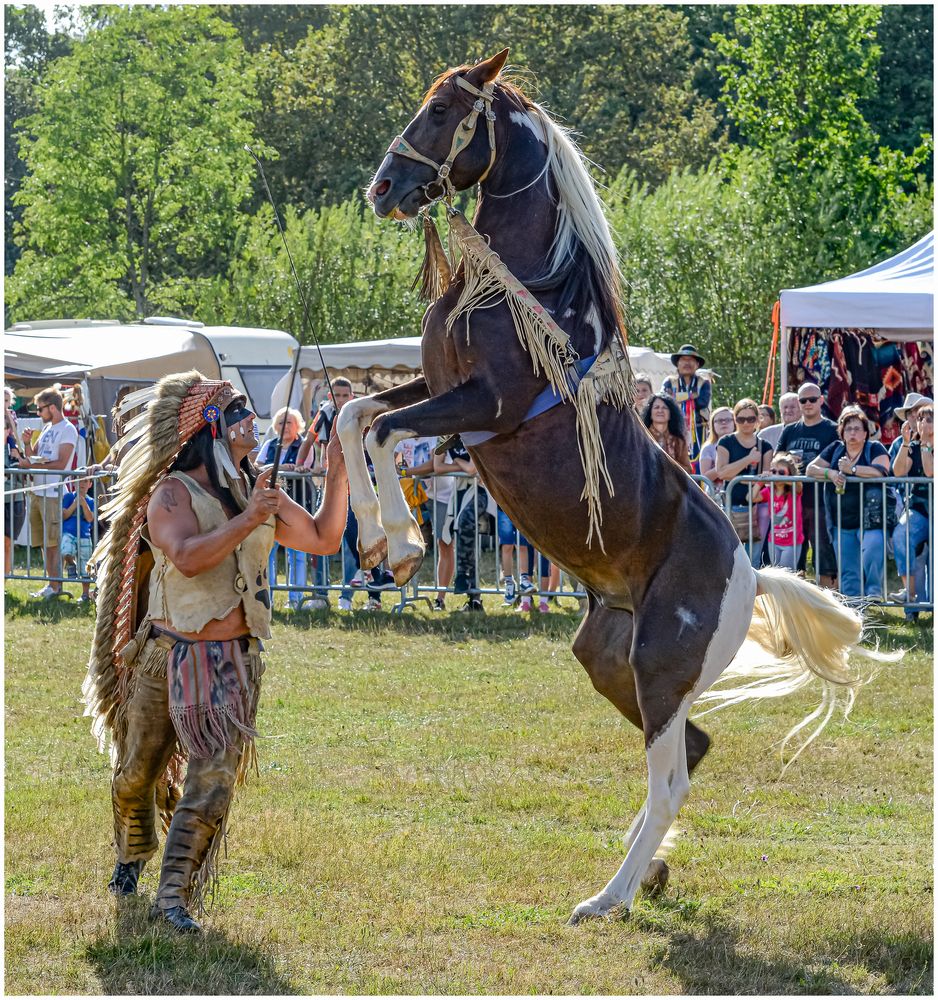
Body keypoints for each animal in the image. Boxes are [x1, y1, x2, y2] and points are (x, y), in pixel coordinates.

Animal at [340, 48, 880, 920]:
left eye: (441, 110)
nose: (383, 187)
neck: (528, 287)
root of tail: (747, 571)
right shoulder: (438, 394)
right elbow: (354, 413)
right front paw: (371, 533)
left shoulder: (485, 407)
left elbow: (380, 430)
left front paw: (401, 542)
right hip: (609, 658)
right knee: (690, 751)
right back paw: (646, 870)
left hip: (660, 668)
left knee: (670, 777)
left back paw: (608, 897)